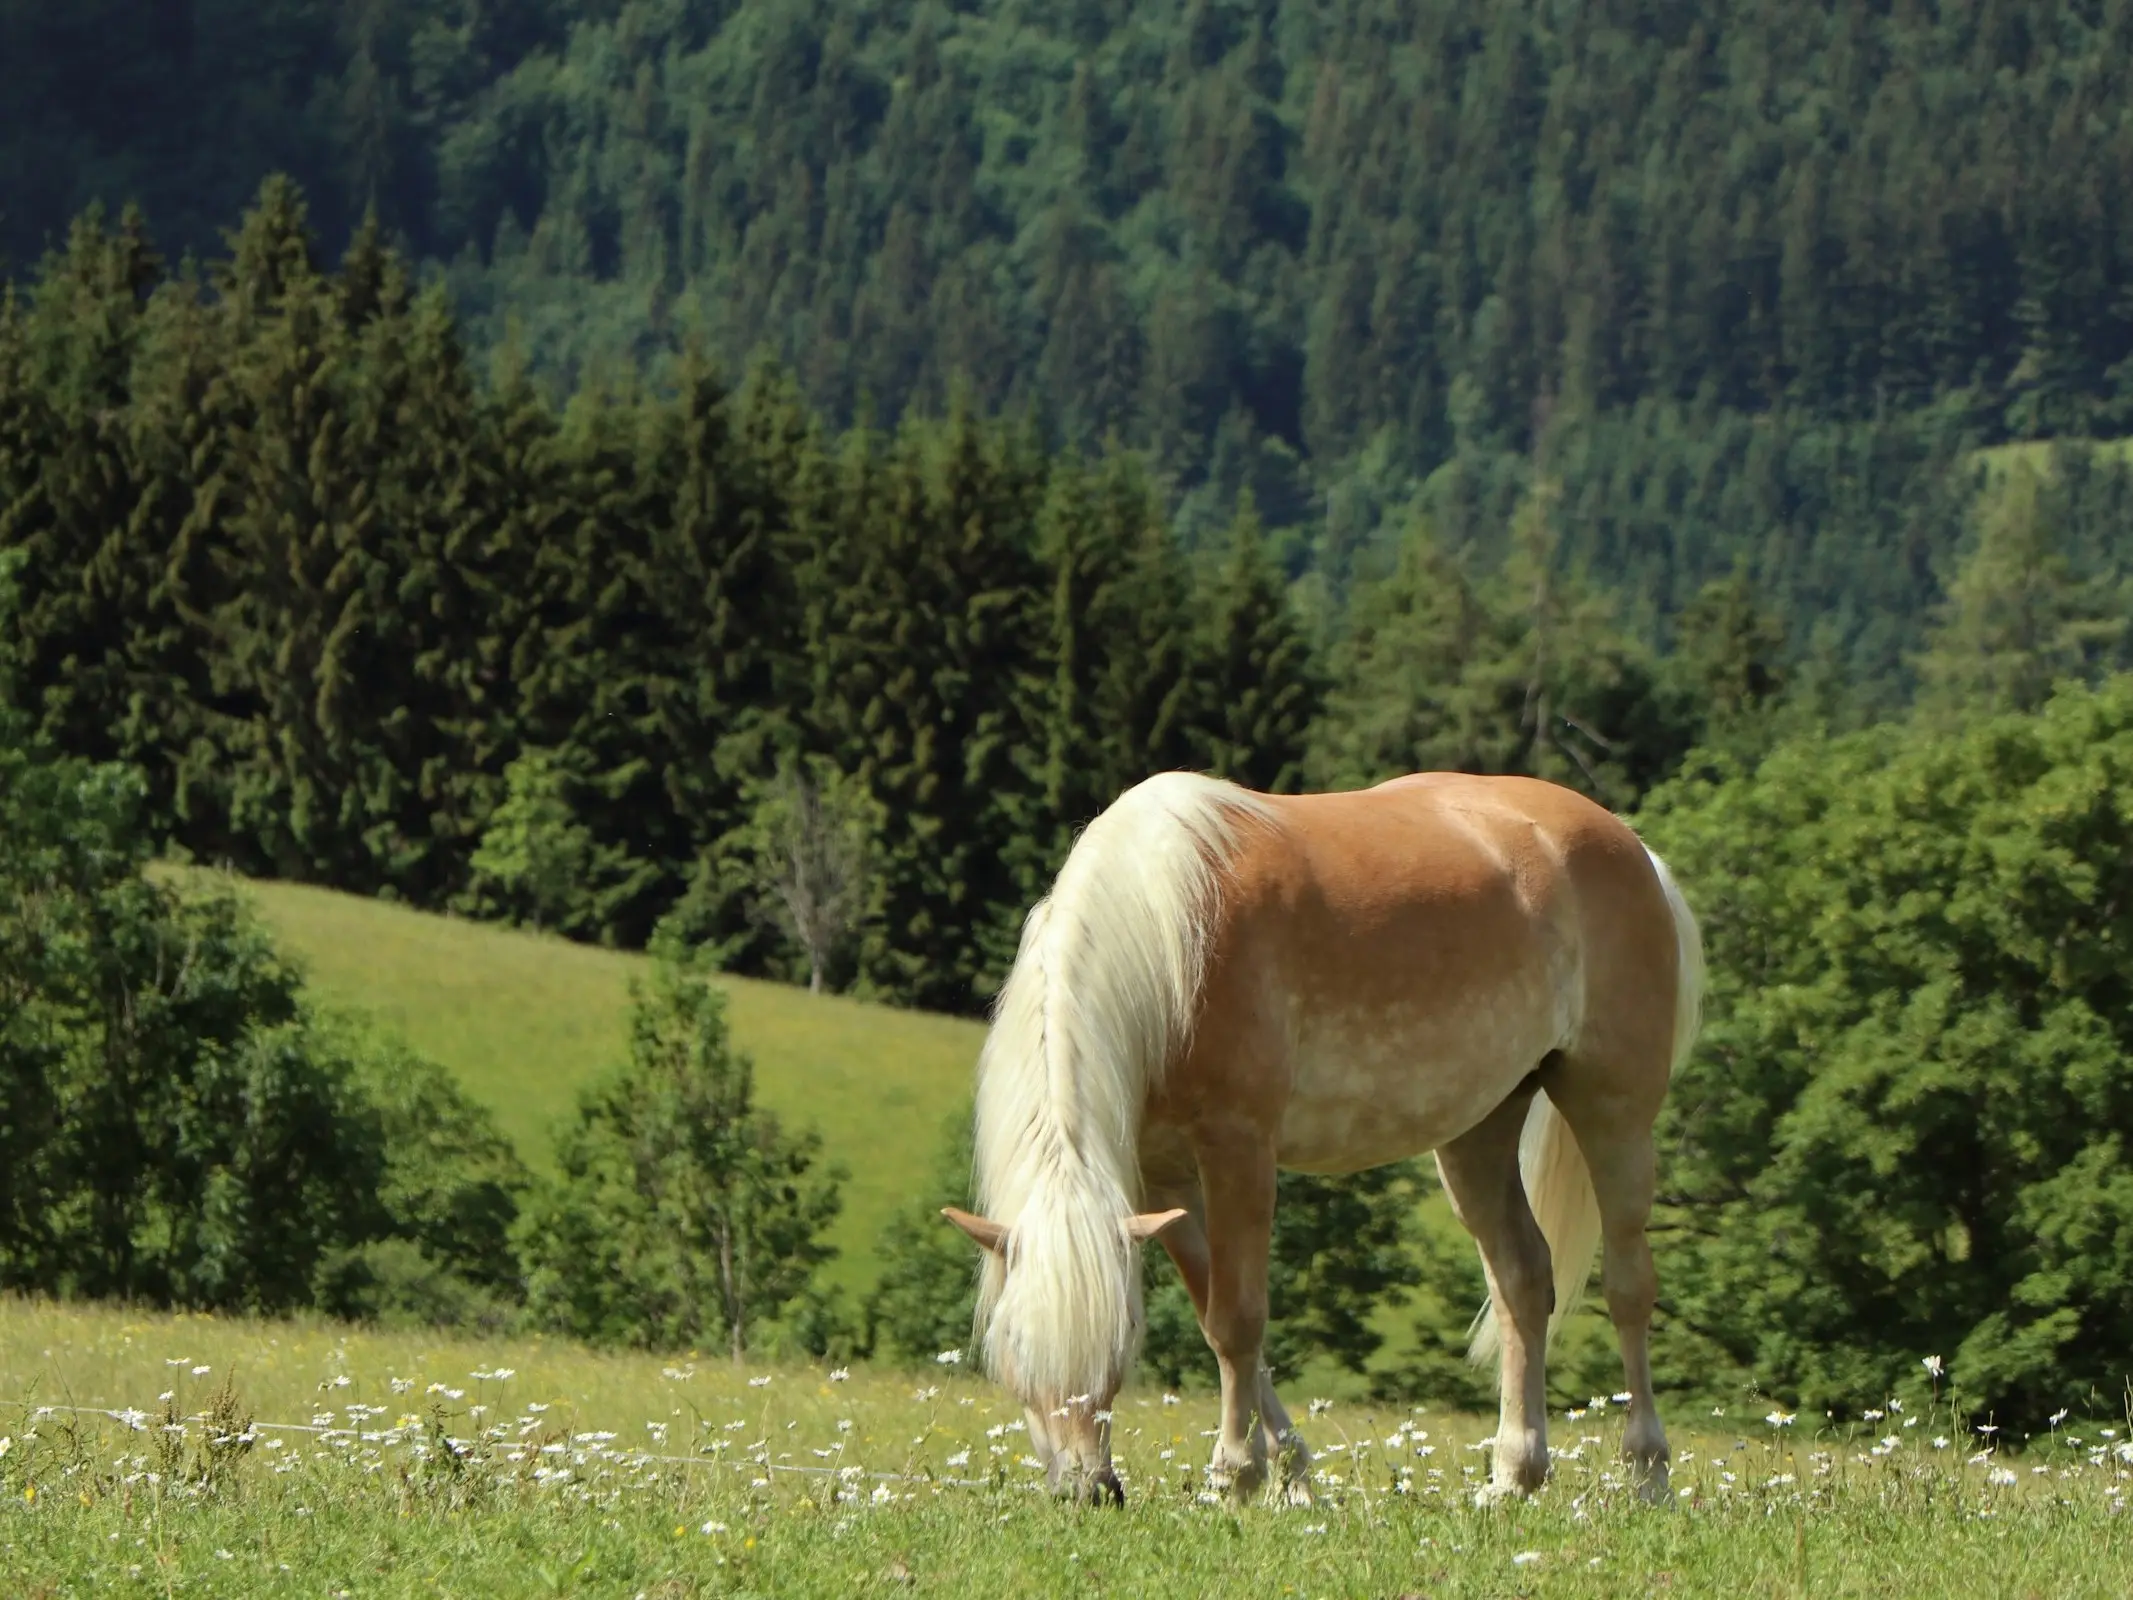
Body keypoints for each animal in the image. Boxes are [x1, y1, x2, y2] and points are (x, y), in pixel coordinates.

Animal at [942, 772, 1706, 1510]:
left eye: (1119, 1347)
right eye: (1012, 1349)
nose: (1088, 1492)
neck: (1165, 940)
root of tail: (1634, 848)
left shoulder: (1239, 1150)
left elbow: (1238, 1320)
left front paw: (1233, 1478)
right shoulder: (1167, 1181)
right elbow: (1220, 1325)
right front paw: (1292, 1477)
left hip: (1613, 1111)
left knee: (1628, 1287)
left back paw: (1648, 1477)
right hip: (1478, 1131)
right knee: (1522, 1278)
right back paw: (1513, 1477)